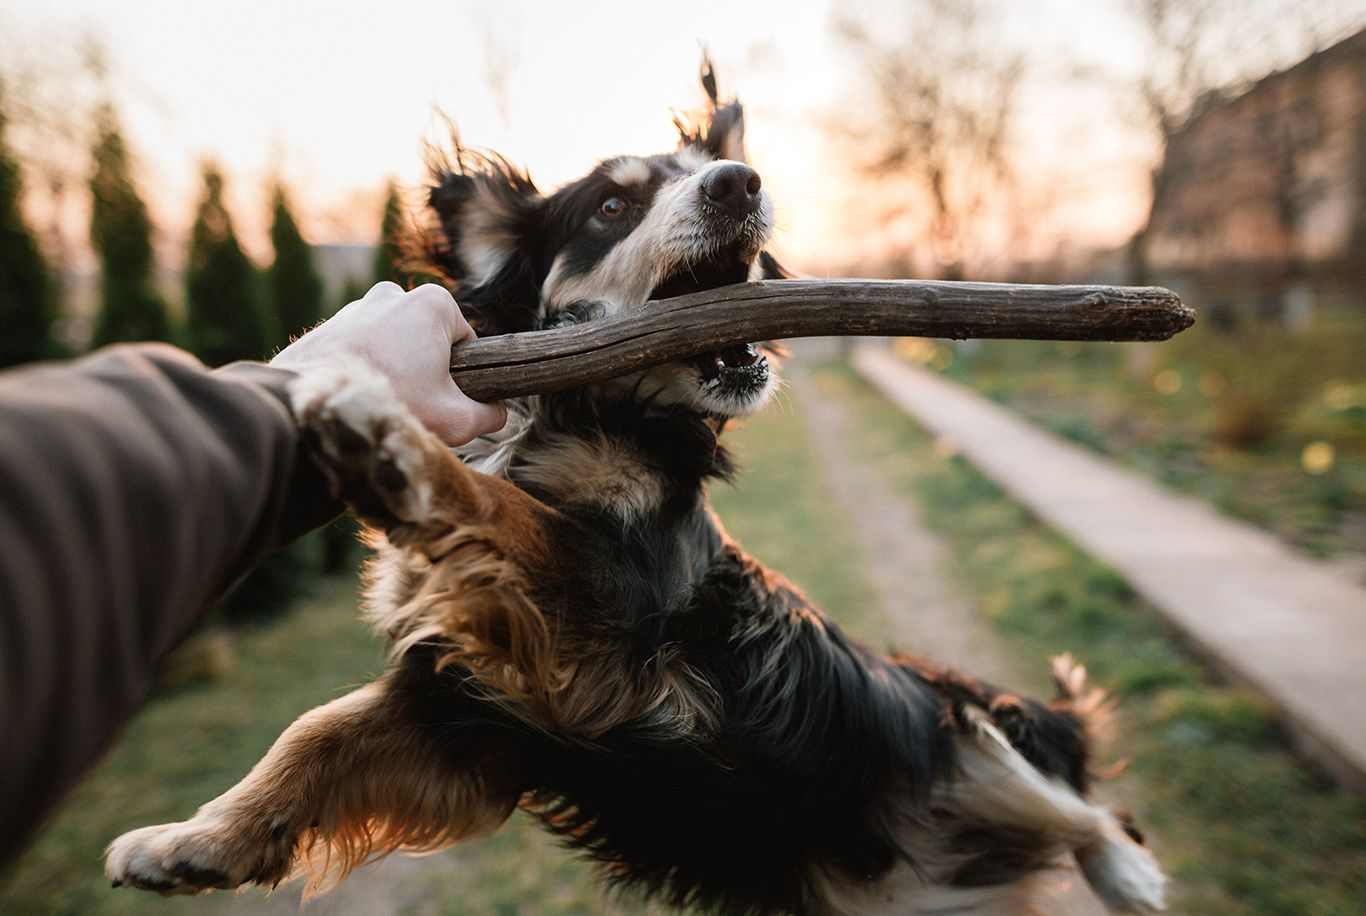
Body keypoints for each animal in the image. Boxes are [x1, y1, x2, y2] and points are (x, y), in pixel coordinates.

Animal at [109, 66, 1163, 916]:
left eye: (708, 168)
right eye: (611, 209)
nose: (740, 182)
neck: (586, 414)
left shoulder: (609, 606)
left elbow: (502, 512)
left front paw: (392, 444)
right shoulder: (475, 716)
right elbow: (316, 731)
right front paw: (193, 841)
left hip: (951, 718)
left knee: (1072, 798)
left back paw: (1130, 871)